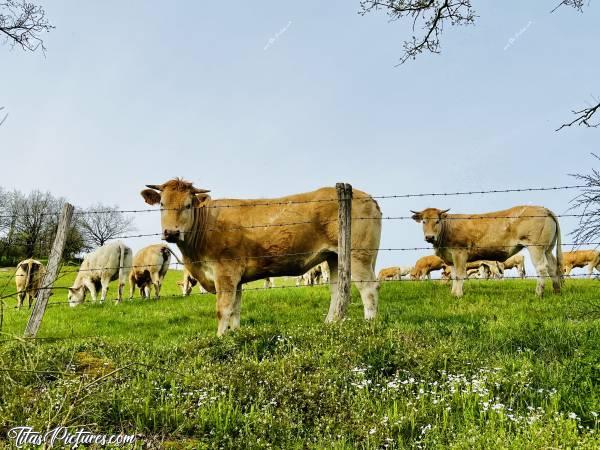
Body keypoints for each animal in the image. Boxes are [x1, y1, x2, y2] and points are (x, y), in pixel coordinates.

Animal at [141, 178, 380, 336]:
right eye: (162, 204)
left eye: (188, 205)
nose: (171, 232)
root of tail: (366, 196)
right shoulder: (235, 278)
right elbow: (235, 309)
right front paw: (234, 335)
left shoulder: (225, 273)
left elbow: (223, 309)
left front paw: (219, 338)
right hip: (334, 257)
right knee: (337, 290)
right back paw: (329, 323)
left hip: (358, 255)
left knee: (368, 288)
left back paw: (370, 324)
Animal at [412, 206, 564, 298]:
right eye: (424, 221)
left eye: (437, 221)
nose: (429, 237)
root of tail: (544, 209)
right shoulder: (451, 258)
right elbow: (455, 275)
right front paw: (453, 293)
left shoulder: (459, 253)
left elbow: (460, 275)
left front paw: (459, 295)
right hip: (548, 249)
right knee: (552, 267)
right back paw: (556, 291)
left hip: (536, 247)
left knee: (542, 268)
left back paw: (538, 293)